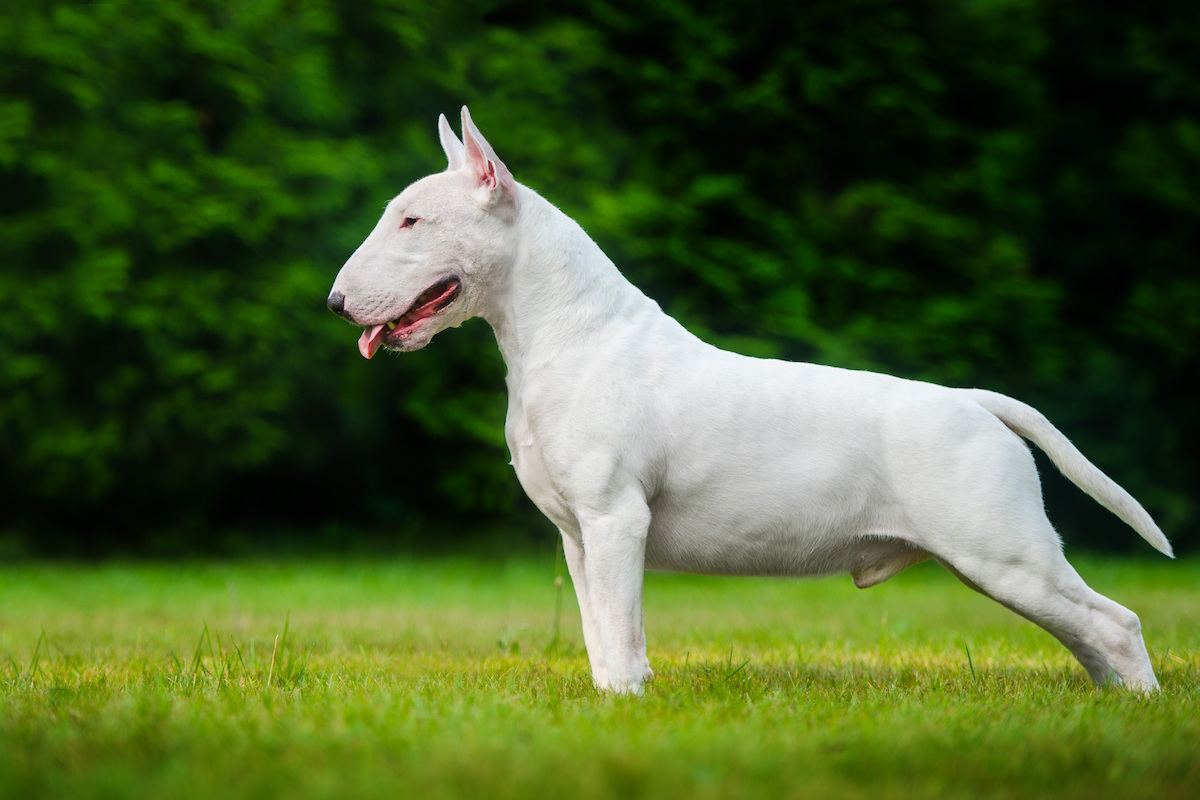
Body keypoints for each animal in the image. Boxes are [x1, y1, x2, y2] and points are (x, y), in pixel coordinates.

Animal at [328, 107, 1171, 695]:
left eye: (413, 219)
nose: (336, 303)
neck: (563, 332)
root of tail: (976, 401)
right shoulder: (578, 534)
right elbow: (598, 626)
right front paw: (607, 697)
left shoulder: (616, 518)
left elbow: (622, 626)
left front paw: (627, 700)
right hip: (1007, 562)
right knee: (1089, 631)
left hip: (1005, 551)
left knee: (1116, 621)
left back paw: (1138, 706)